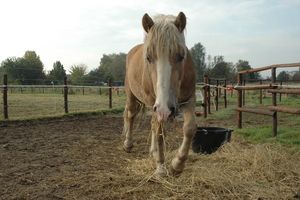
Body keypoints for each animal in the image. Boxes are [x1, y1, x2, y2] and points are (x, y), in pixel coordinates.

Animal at [122, 11, 197, 177]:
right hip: (135, 98)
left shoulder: (188, 100)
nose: (165, 110)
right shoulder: (156, 105)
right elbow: (160, 134)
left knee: (152, 124)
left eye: (181, 56)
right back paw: (128, 144)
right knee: (131, 116)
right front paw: (161, 168)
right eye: (148, 57)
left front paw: (177, 165)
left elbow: (189, 128)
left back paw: (153, 151)